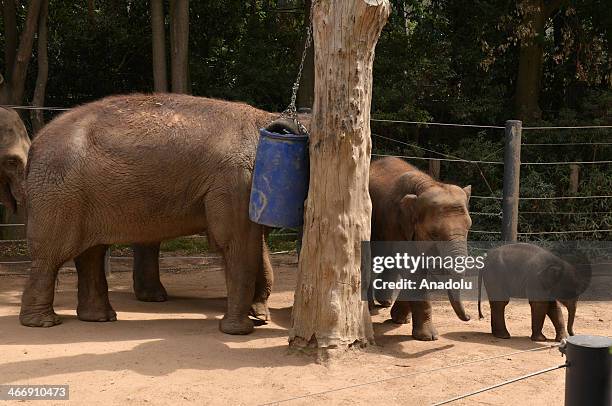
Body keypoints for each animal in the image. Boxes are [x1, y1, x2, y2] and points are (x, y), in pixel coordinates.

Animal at [18, 93, 278, 334]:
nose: (259, 318)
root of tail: (35, 144)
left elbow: (254, 242)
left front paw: (259, 317)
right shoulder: (235, 179)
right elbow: (234, 241)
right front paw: (242, 329)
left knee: (90, 253)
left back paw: (99, 318)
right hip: (59, 193)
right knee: (52, 254)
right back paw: (43, 322)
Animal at [368, 157, 474, 340]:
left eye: (469, 227)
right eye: (434, 234)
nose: (470, 317)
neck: (428, 184)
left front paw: (400, 320)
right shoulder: (395, 223)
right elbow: (413, 271)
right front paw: (428, 337)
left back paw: (385, 303)